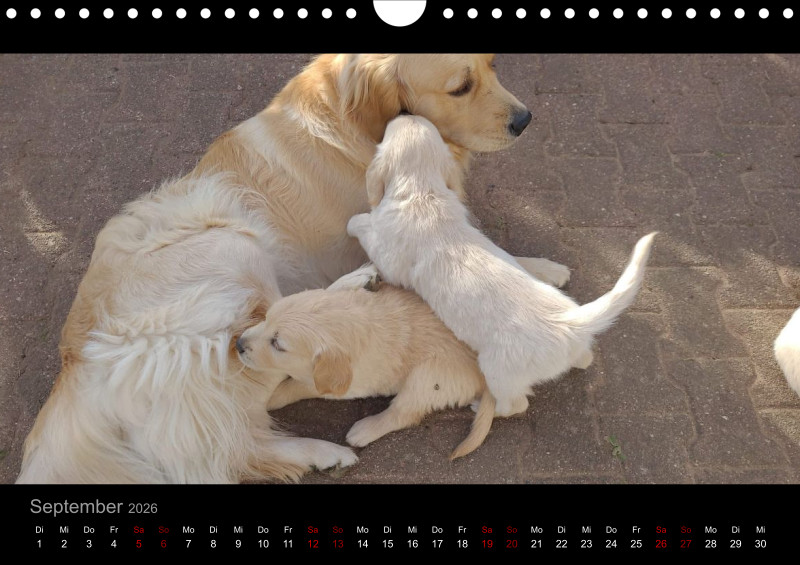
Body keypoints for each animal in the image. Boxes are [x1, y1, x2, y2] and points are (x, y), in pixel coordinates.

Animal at [236, 285, 495, 460]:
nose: (238, 344)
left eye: (278, 344)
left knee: (404, 413)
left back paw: (364, 430)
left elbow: (303, 385)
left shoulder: (347, 384)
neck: (358, 327)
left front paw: (272, 396)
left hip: (428, 375)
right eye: (266, 318)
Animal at [347, 115, 657, 418]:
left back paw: (482, 407)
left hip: (498, 370)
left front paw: (356, 221)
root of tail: (570, 321)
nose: (404, 113)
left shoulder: (389, 257)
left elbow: (366, 229)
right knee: (584, 358)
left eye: (391, 129)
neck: (423, 192)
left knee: (517, 404)